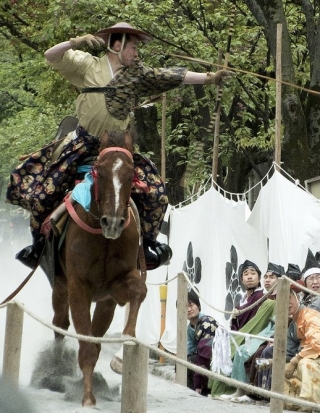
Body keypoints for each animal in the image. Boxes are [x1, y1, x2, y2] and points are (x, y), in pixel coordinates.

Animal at [52, 130, 147, 406]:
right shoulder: (78, 288)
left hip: (104, 302)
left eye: (131, 174)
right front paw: (87, 398)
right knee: (60, 324)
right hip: (60, 286)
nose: (112, 223)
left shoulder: (114, 288)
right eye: (99, 172)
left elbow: (139, 290)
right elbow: (86, 346)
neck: (103, 239)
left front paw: (125, 346)